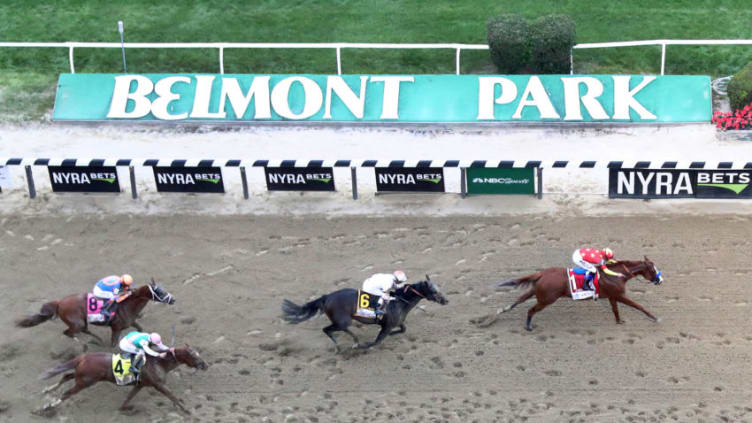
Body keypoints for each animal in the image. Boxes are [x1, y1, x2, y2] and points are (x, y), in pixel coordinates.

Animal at [15, 278, 175, 348]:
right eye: (160, 292)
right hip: (77, 323)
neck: (128, 305)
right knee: (68, 333)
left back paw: (96, 340)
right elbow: (114, 345)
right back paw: (83, 343)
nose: (173, 299)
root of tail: (60, 303)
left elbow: (141, 329)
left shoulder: (131, 322)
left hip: (82, 322)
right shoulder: (116, 328)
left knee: (85, 331)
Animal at [494, 256, 664, 332]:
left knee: (520, 299)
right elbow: (639, 306)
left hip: (538, 292)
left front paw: (619, 321)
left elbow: (615, 310)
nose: (660, 280)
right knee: (531, 309)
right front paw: (655, 318)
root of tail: (542, 273)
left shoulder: (612, 296)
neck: (617, 275)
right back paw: (528, 326)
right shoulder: (619, 295)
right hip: (546, 299)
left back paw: (498, 312)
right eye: (652, 269)